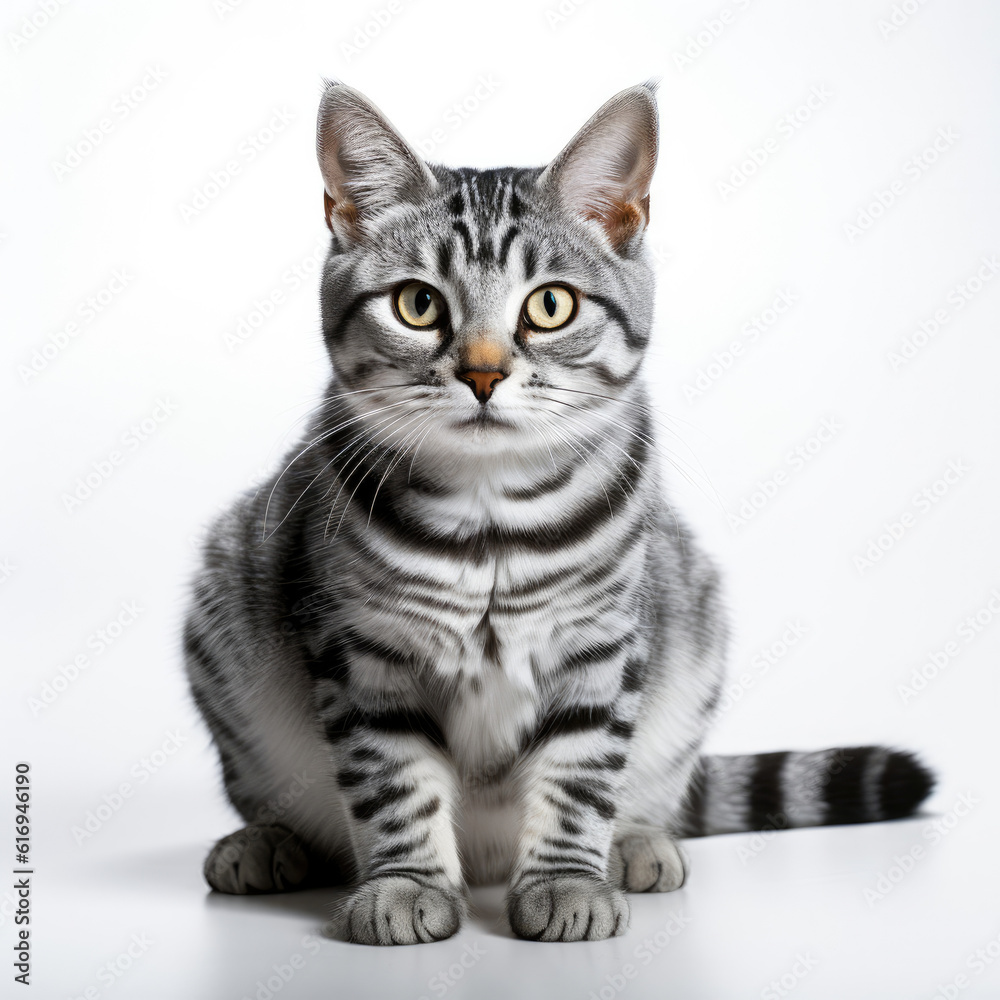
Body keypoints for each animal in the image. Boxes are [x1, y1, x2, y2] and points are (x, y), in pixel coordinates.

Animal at [184, 80, 932, 944]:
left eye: (548, 306)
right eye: (417, 304)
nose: (482, 373)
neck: (488, 521)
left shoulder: (602, 644)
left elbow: (580, 774)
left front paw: (568, 882)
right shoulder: (363, 649)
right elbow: (393, 779)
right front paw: (405, 884)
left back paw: (639, 843)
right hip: (225, 613)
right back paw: (265, 843)